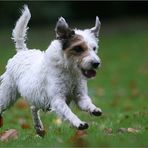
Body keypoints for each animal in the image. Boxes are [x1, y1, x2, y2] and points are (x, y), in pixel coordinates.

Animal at [0, 5, 102, 136]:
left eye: (94, 48)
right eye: (78, 48)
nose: (96, 64)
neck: (69, 71)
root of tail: (22, 51)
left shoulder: (80, 96)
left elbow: (87, 103)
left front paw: (94, 109)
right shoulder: (57, 99)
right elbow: (68, 112)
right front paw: (78, 123)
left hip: (36, 97)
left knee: (33, 108)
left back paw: (39, 128)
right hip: (8, 95)